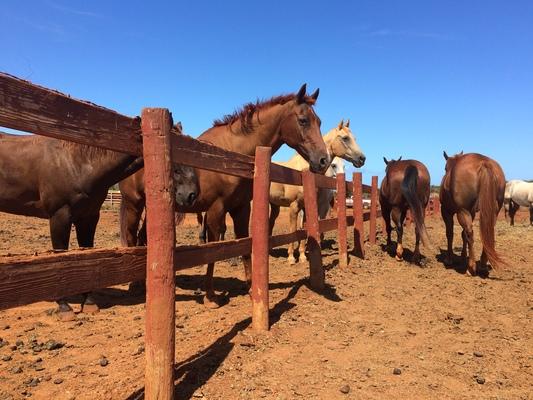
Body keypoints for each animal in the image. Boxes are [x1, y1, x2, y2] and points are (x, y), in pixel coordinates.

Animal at [0, 133, 198, 320]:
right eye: (175, 166)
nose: (191, 195)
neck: (76, 163)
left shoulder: (89, 217)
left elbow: (87, 253)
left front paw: (88, 302)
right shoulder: (59, 216)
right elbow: (60, 256)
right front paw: (65, 307)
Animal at [119, 84, 328, 308]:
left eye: (319, 121)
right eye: (303, 120)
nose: (323, 160)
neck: (230, 155)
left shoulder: (241, 209)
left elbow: (245, 245)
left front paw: (252, 290)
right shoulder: (215, 210)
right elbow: (212, 251)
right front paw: (210, 296)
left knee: (143, 238)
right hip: (134, 205)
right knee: (131, 236)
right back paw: (134, 285)